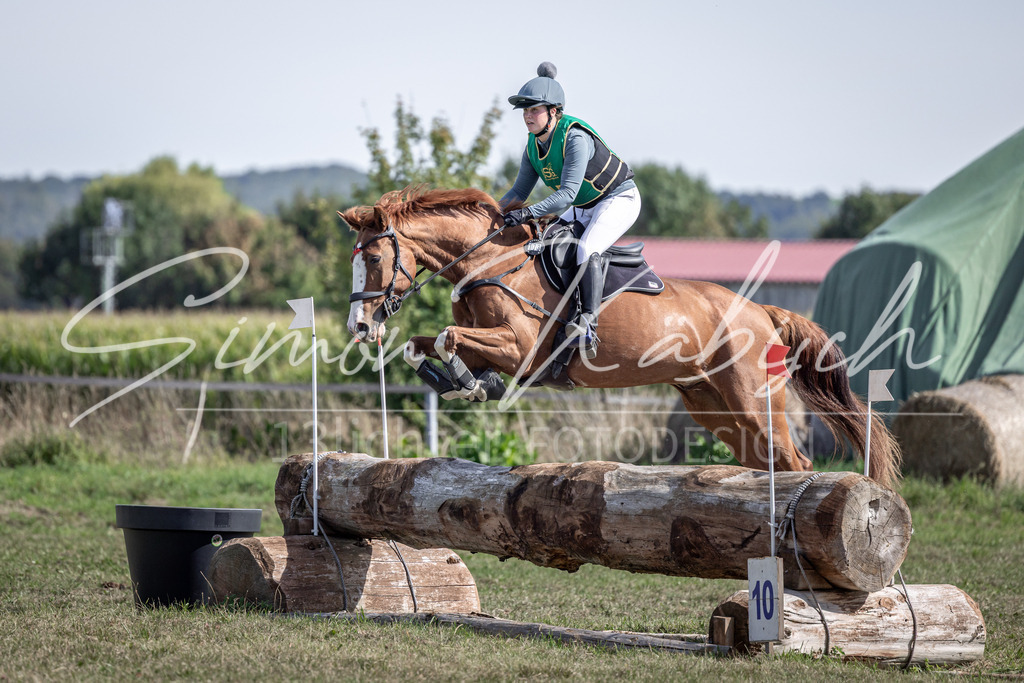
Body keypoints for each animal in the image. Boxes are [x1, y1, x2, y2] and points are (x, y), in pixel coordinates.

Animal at [340, 186, 901, 488]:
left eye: (375, 257)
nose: (360, 328)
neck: (492, 261)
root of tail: (760, 311)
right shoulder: (489, 341)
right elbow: (424, 344)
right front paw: (465, 383)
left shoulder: (521, 349)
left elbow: (447, 336)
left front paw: (468, 381)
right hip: (712, 406)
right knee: (764, 462)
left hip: (752, 398)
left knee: (793, 460)